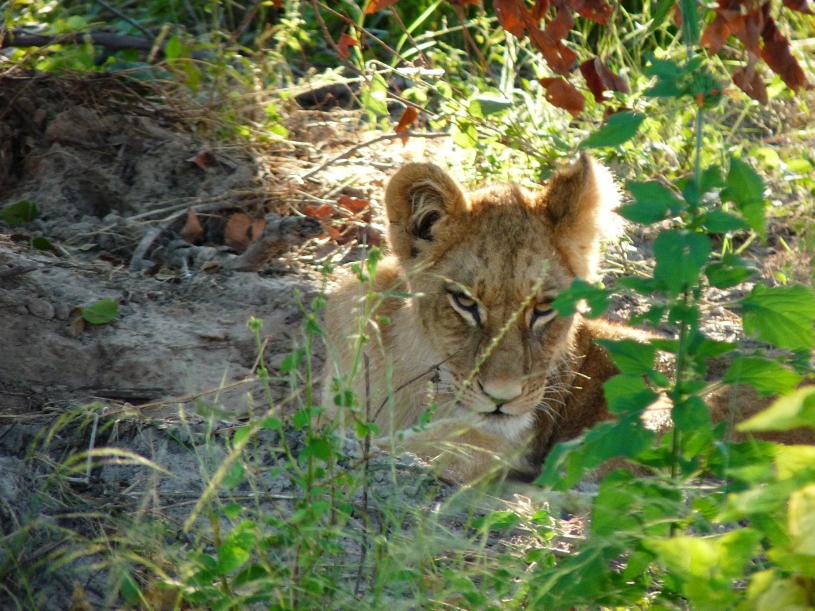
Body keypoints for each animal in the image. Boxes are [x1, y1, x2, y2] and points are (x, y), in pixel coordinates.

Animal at [319, 153, 812, 482]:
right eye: (465, 302)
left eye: (543, 308)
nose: (501, 398)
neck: (412, 371)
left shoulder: (501, 441)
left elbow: (412, 447)